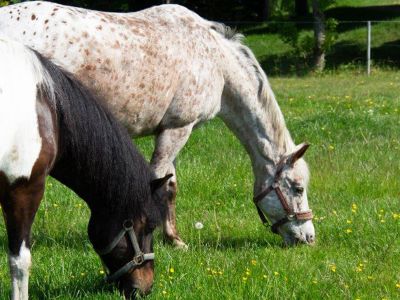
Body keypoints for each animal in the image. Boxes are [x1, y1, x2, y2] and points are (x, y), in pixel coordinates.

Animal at [0, 1, 316, 247]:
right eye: (298, 188)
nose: (308, 238)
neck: (215, 61)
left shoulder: (168, 131)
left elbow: (170, 183)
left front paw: (171, 238)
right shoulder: (178, 129)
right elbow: (162, 182)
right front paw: (169, 238)